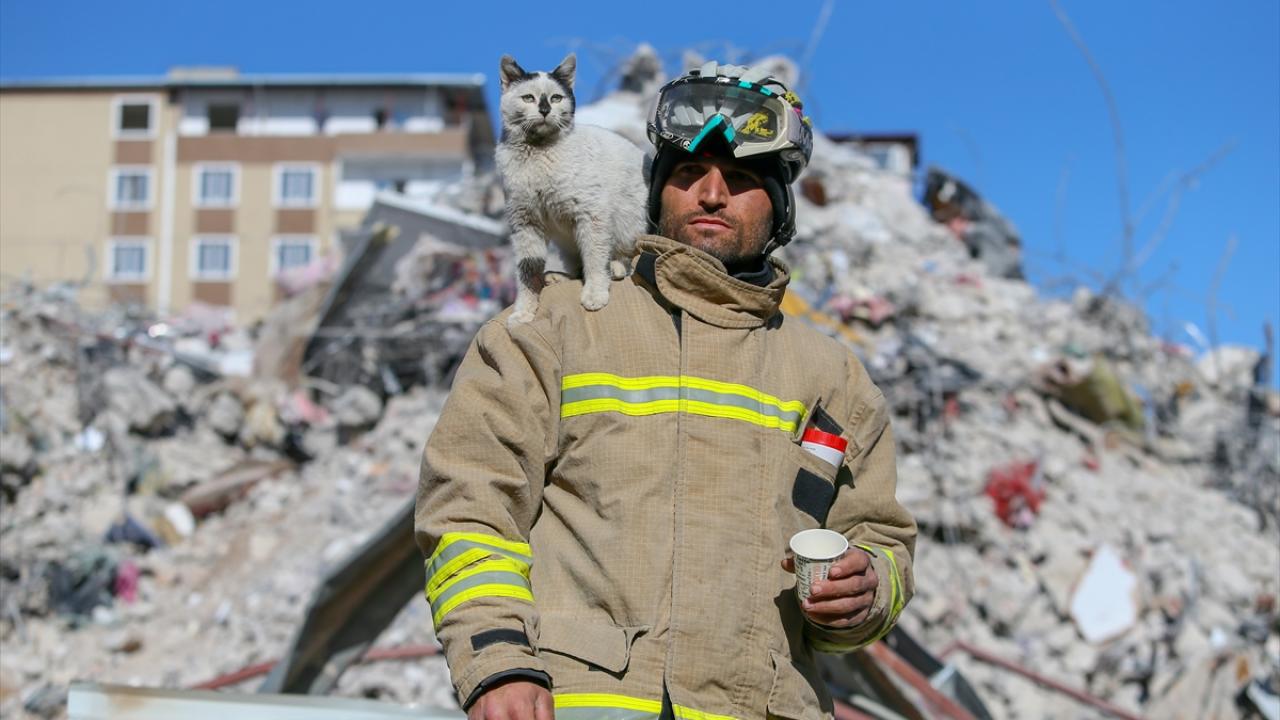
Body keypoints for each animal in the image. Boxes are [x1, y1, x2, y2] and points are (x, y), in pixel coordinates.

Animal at [491, 54, 645, 324]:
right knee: (575, 266)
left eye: (556, 98)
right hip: (566, 240)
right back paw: (557, 276)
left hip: (629, 223)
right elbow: (527, 272)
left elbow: (594, 258)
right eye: (528, 98)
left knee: (625, 255)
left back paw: (616, 268)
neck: (538, 153)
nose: (545, 110)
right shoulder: (524, 223)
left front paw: (595, 294)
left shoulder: (591, 214)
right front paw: (524, 312)